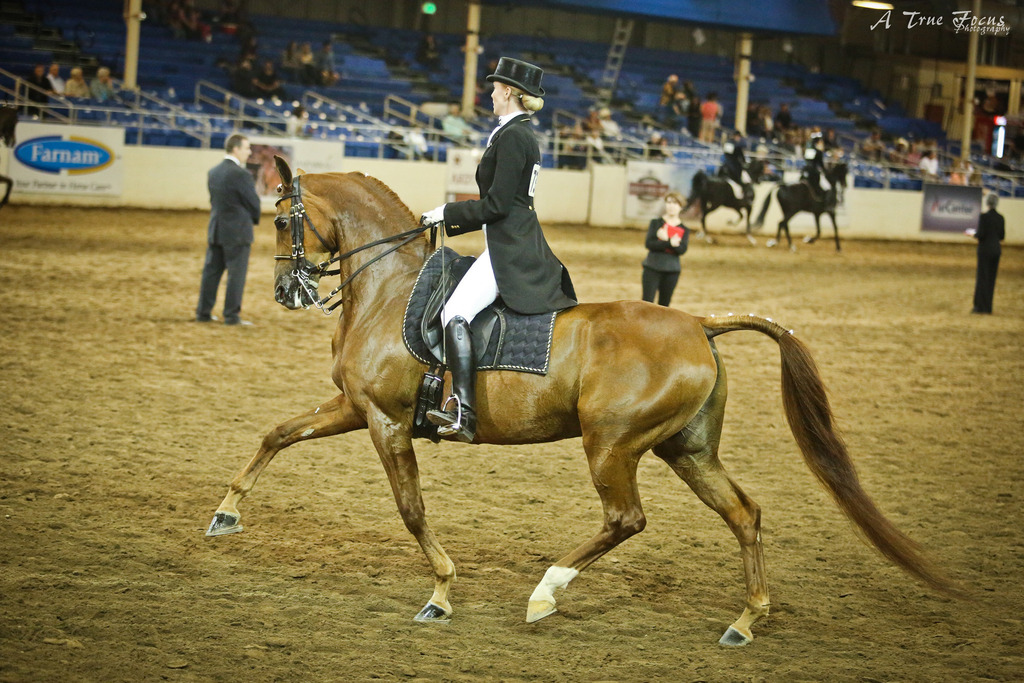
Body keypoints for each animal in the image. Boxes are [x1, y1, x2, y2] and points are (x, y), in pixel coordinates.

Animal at [205, 156, 956, 646]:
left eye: (281, 220)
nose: (285, 291)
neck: (391, 288)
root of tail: (699, 322)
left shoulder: (386, 421)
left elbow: (411, 509)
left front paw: (442, 591)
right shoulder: (354, 408)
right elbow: (277, 433)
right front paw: (224, 513)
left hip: (612, 444)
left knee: (627, 519)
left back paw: (546, 592)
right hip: (686, 448)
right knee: (744, 513)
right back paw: (746, 619)